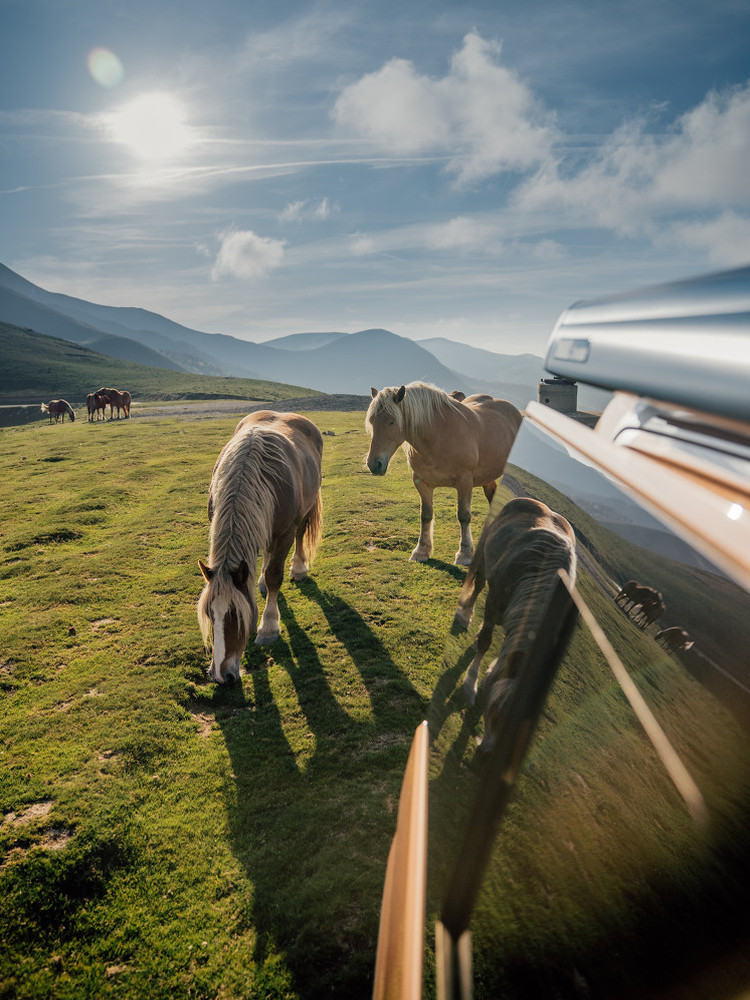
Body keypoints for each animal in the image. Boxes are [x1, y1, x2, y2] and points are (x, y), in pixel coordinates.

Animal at [197, 410, 324, 684]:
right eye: (210, 614)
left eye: (237, 615)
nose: (222, 675)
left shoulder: (285, 533)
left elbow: (276, 575)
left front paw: (268, 627)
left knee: (299, 537)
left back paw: (298, 569)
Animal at [366, 382, 520, 568]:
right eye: (372, 421)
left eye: (391, 421)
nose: (374, 464)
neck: (438, 436)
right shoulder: (422, 483)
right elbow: (425, 515)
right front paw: (421, 551)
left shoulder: (465, 482)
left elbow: (463, 516)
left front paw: (464, 553)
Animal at [450, 496, 580, 752]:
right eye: (494, 711)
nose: (485, 751)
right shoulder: (493, 603)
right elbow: (485, 641)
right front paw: (470, 684)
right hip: (485, 560)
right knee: (478, 584)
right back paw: (465, 615)